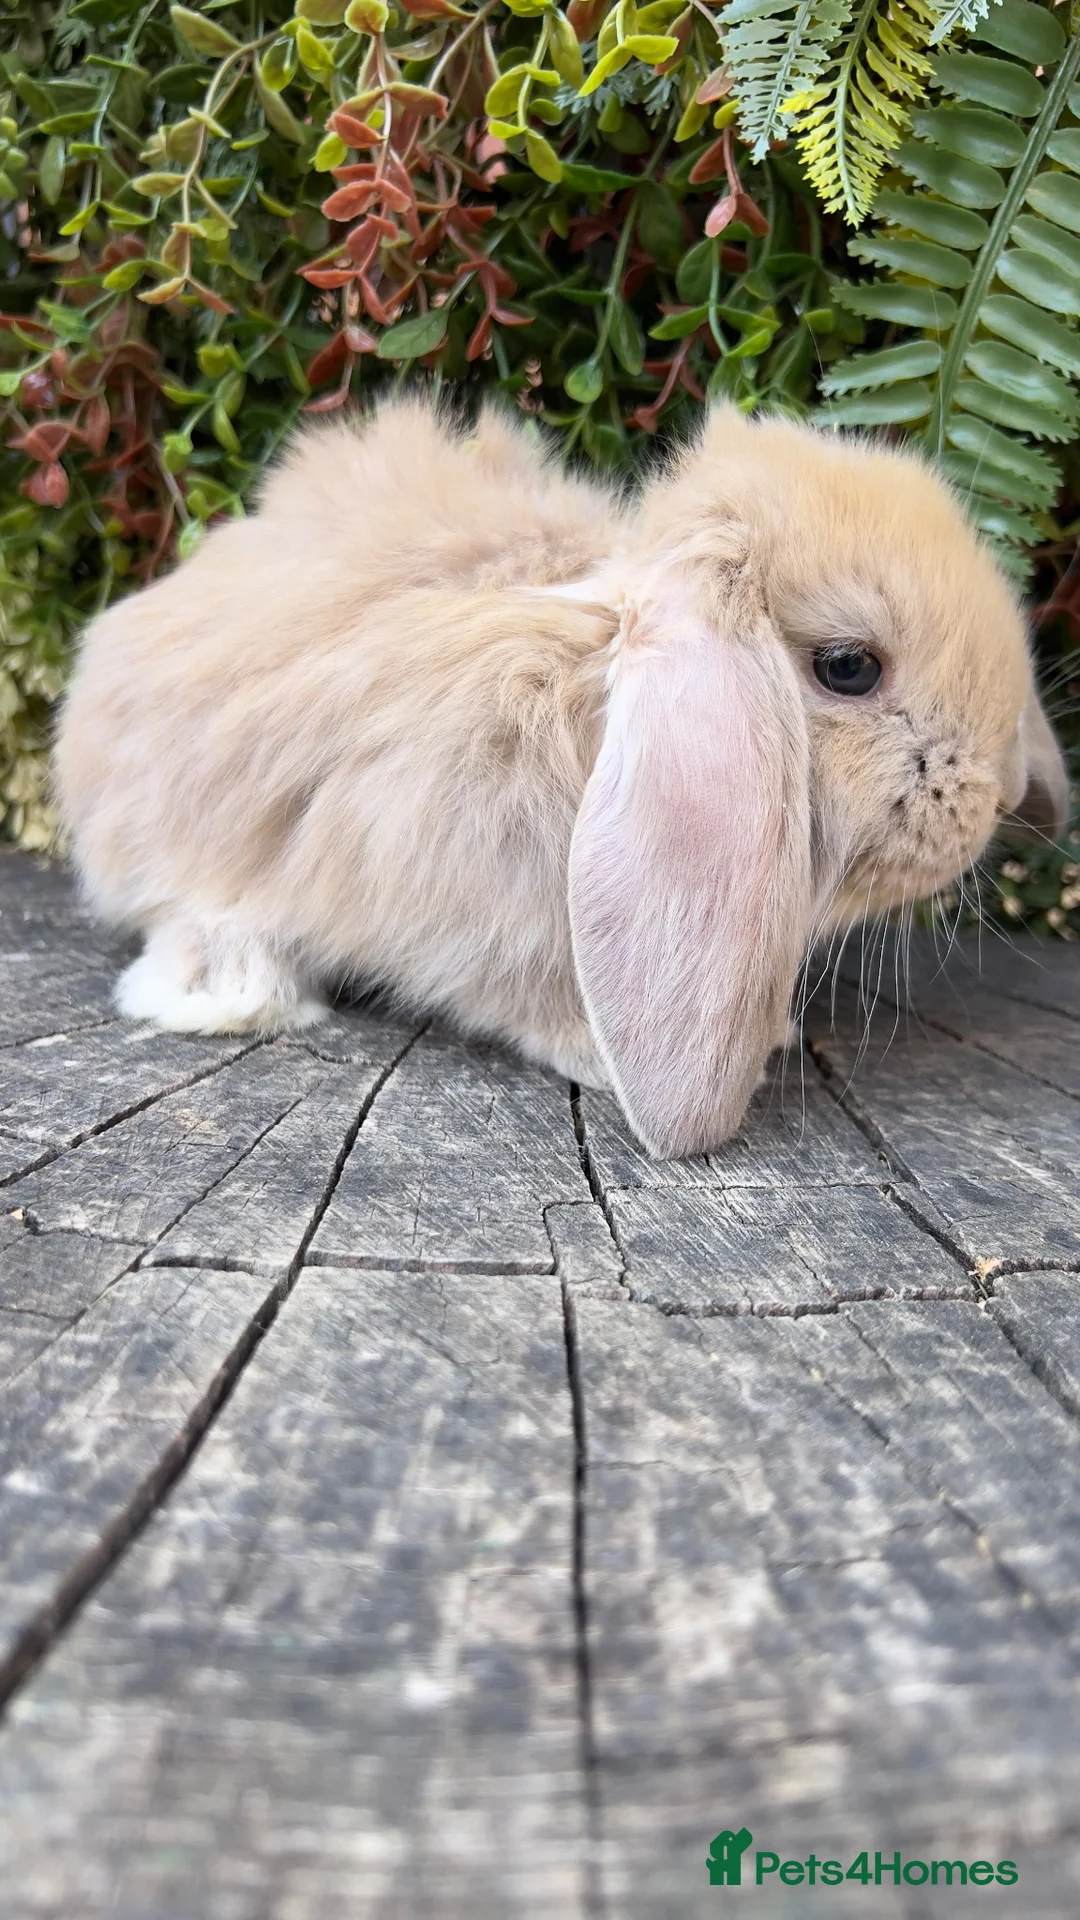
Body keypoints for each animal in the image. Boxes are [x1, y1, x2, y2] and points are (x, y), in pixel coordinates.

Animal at [54, 397, 1070, 1159]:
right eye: (850, 667)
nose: (1000, 796)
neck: (588, 699)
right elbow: (527, 1002)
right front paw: (617, 1055)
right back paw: (230, 987)